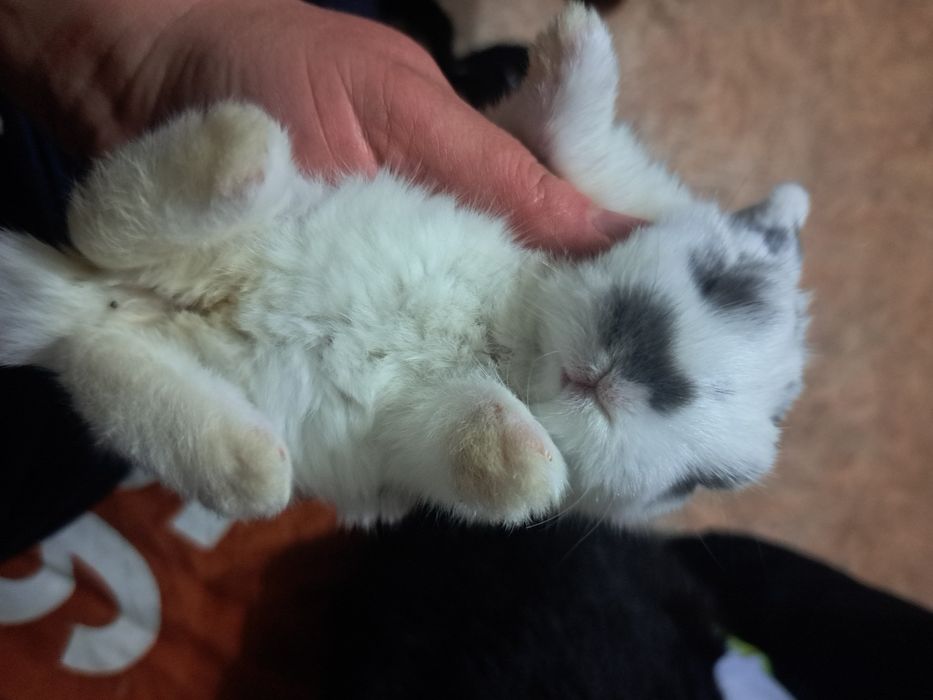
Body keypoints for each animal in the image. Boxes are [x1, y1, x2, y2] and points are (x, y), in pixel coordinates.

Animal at [0, 4, 809, 526]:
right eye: (720, 280)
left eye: (703, 483)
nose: (629, 376)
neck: (510, 337)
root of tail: (79, 296)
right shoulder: (591, 178)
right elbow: (578, 144)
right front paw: (577, 37)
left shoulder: (415, 434)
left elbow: (481, 443)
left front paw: (535, 467)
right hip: (235, 225)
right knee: (103, 222)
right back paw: (239, 147)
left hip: (135, 363)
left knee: (109, 360)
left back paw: (249, 458)